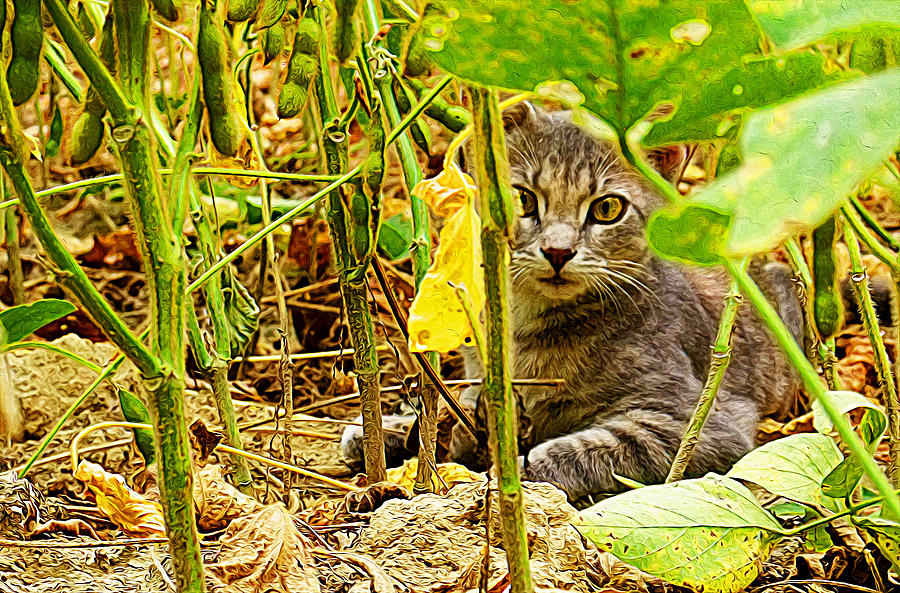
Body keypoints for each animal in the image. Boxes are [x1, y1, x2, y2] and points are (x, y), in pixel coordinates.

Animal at [342, 102, 800, 500]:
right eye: (523, 199)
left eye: (608, 208)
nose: (558, 251)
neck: (526, 326)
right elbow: (456, 404)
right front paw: (392, 429)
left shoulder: (702, 425)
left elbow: (591, 448)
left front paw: (517, 470)